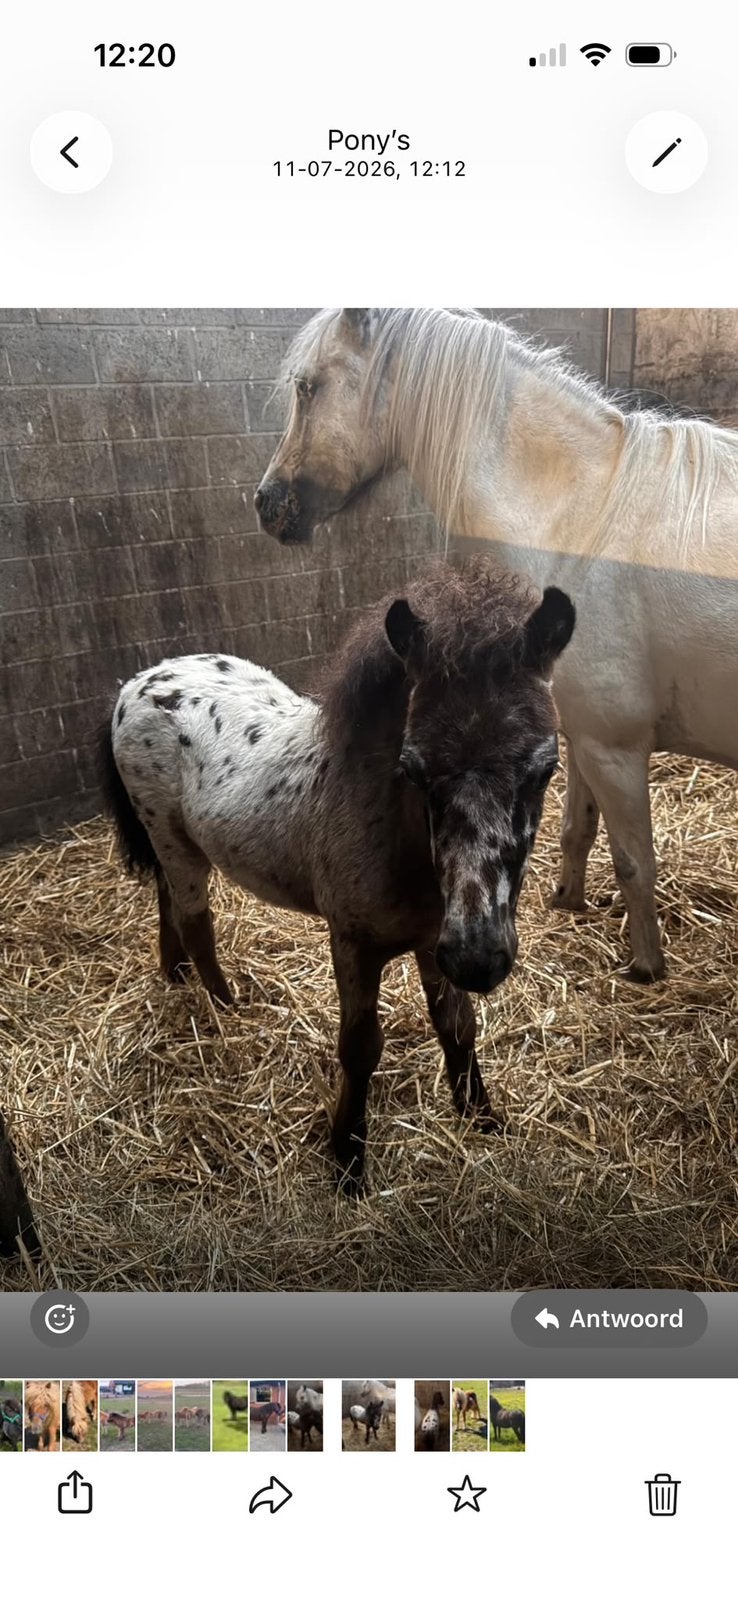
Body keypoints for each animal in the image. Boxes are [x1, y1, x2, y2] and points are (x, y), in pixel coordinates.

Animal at [102, 559, 574, 1191]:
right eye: (413, 768)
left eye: (545, 768)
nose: (479, 958)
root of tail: (138, 680)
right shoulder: (352, 942)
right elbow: (360, 1047)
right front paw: (347, 1159)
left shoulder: (434, 940)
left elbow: (457, 1026)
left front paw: (481, 1118)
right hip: (174, 839)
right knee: (195, 916)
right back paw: (227, 1005)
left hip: (170, 841)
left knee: (166, 897)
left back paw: (175, 975)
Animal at [255, 306, 738, 982]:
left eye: (307, 387)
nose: (266, 504)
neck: (577, 524)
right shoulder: (581, 736)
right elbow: (577, 829)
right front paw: (568, 903)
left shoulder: (615, 748)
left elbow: (635, 863)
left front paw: (646, 967)